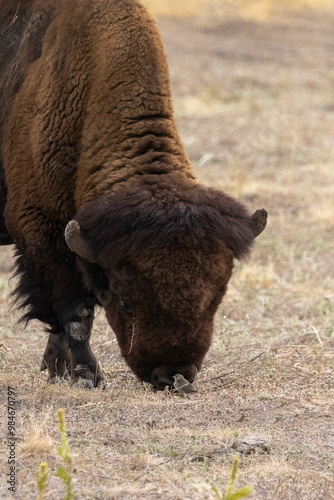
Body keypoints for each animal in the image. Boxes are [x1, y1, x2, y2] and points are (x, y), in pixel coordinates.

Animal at [0, 0, 266, 390]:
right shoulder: (40, 228)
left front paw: (58, 369)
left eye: (216, 298)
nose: (173, 375)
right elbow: (75, 314)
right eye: (125, 301)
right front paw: (86, 376)